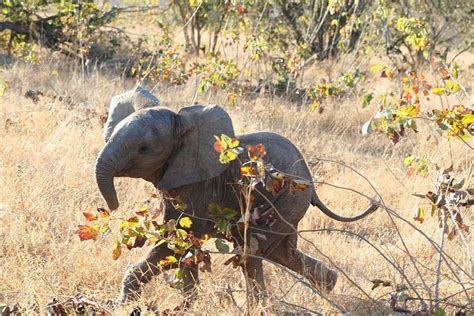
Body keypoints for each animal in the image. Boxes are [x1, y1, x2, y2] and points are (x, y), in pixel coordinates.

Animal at [95, 102, 378, 302]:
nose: (112, 207)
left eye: (143, 149)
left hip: (287, 199)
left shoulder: (197, 185)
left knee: (251, 252)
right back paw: (328, 288)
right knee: (281, 253)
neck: (182, 122)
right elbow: (180, 244)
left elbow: (177, 241)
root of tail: (310, 179)